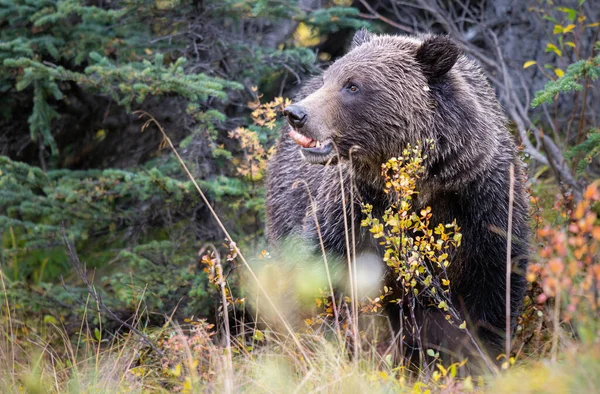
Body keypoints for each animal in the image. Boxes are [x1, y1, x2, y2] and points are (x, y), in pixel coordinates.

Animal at [264, 30, 528, 366]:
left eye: (352, 85)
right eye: (329, 78)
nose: (296, 113)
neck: (422, 185)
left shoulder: (484, 203)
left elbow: (493, 290)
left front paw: (479, 358)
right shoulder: (351, 210)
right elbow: (321, 273)